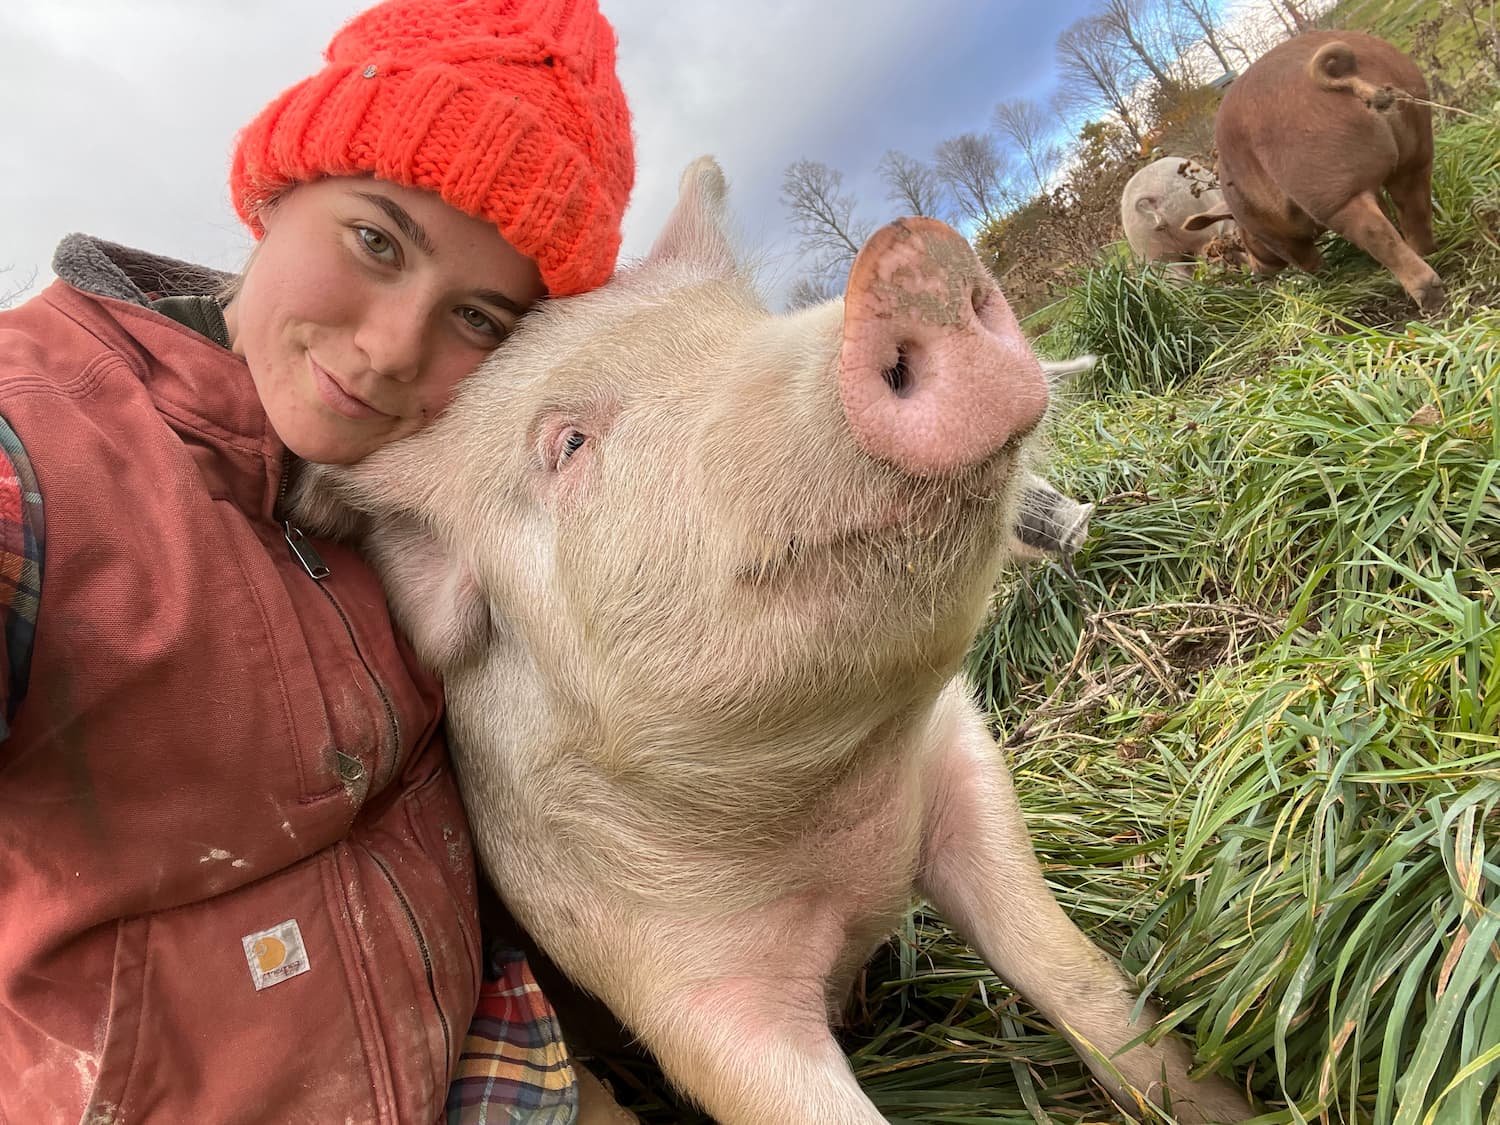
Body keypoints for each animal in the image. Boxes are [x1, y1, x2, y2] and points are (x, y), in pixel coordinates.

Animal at [292, 158, 1252, 1125]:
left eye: (741, 325)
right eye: (567, 444)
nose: (911, 259)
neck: (836, 824)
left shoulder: (961, 758)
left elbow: (1076, 976)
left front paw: (1223, 1102)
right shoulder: (679, 988)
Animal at [1184, 30, 1442, 312]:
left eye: (1243, 241)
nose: (1254, 272)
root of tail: (1335, 74)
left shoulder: (1279, 237)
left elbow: (1305, 260)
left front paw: (1324, 278)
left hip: (1330, 190)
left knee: (1377, 234)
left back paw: (1429, 299)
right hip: (1416, 148)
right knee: (1414, 209)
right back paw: (1427, 253)